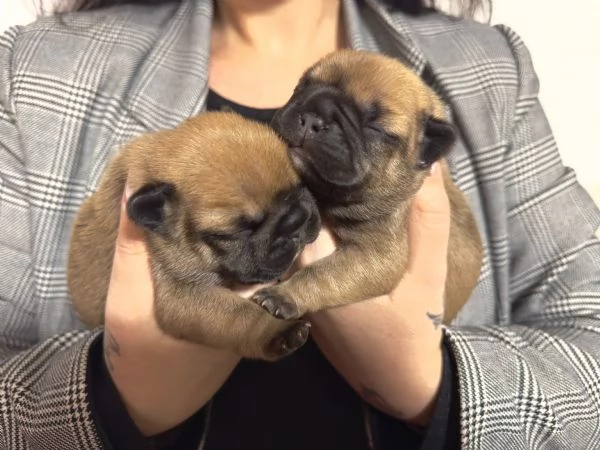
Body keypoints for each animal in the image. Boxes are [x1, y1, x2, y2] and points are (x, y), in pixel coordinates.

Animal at [67, 112, 322, 362]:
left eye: (302, 183)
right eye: (235, 233)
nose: (296, 221)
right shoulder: (186, 293)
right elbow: (242, 317)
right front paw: (278, 331)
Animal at [252, 48, 482, 324]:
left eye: (375, 128)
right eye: (301, 87)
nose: (312, 118)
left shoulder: (376, 257)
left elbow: (323, 274)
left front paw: (284, 295)